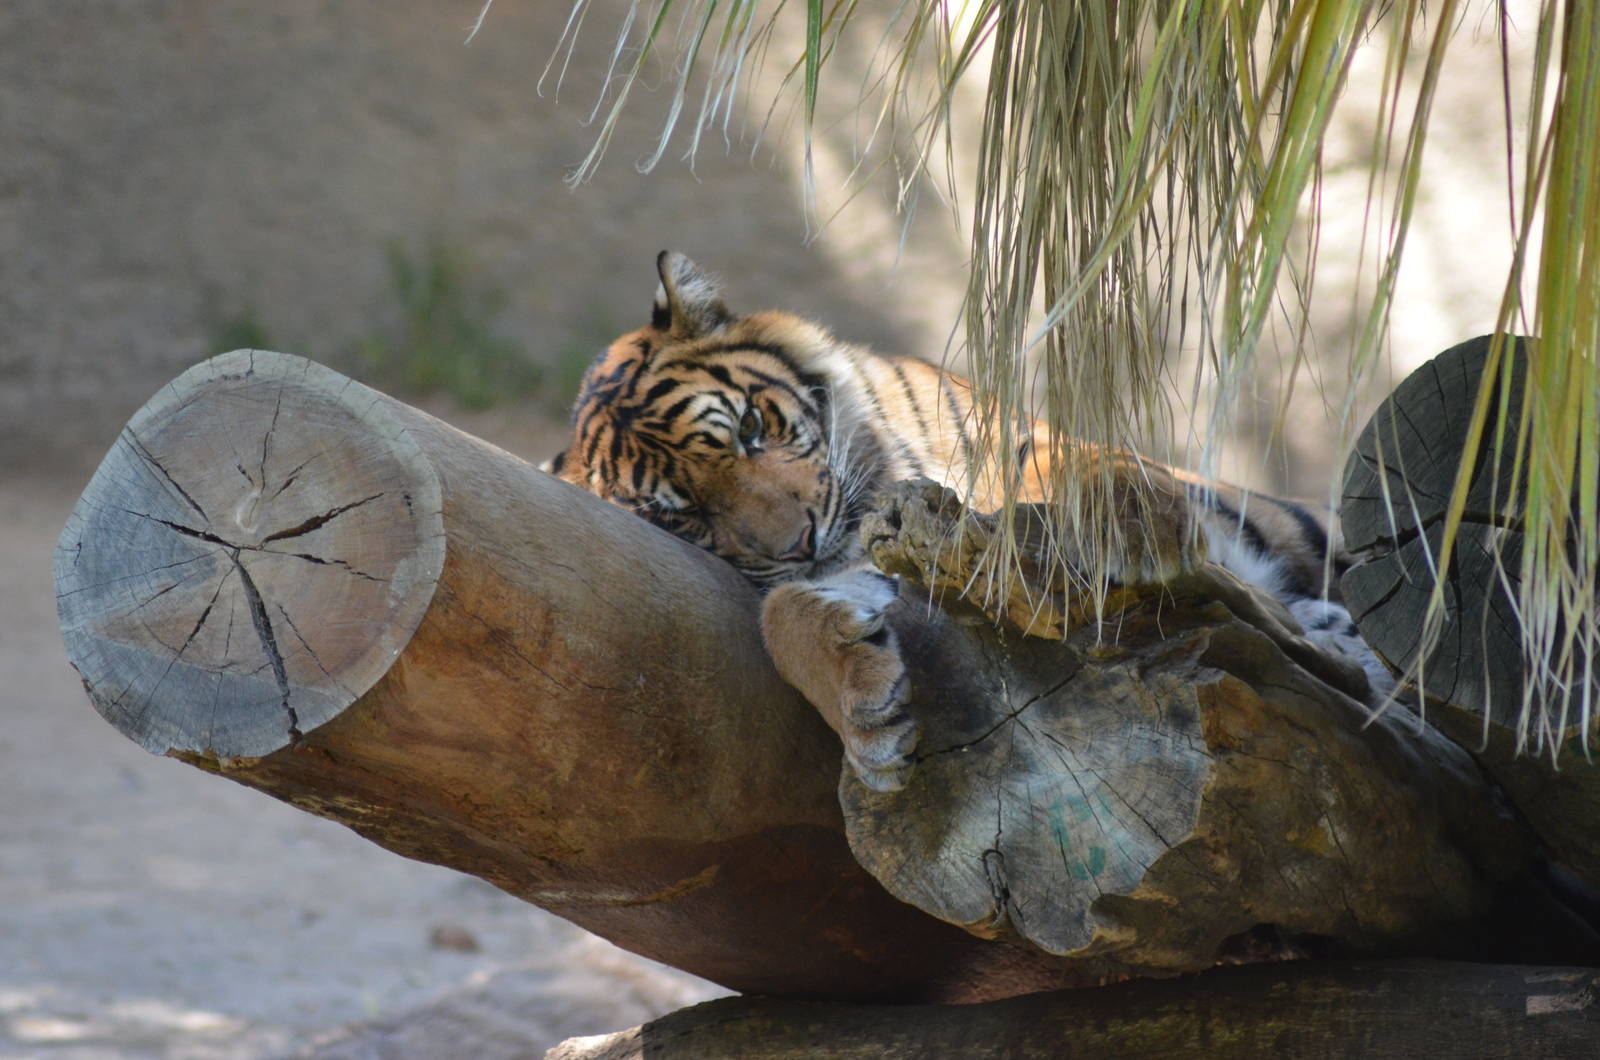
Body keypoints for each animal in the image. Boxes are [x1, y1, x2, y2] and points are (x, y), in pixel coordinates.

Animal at [545, 251, 1389, 792]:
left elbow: (1064, 464)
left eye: (751, 429)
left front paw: (1132, 524)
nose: (801, 540)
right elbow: (782, 614)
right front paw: (865, 714)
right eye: (688, 516)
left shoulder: (1015, 444)